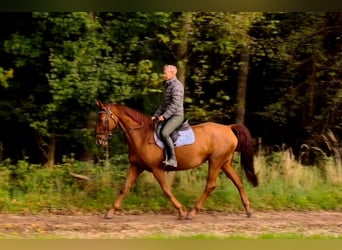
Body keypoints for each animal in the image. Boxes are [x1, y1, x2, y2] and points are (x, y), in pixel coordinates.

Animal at [95, 100, 258, 220]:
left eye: (102, 119)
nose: (98, 140)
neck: (141, 136)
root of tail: (229, 128)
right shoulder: (136, 166)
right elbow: (125, 188)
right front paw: (110, 212)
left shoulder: (156, 169)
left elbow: (166, 190)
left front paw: (181, 211)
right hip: (225, 163)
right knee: (238, 182)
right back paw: (248, 210)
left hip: (216, 161)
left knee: (210, 185)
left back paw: (192, 212)